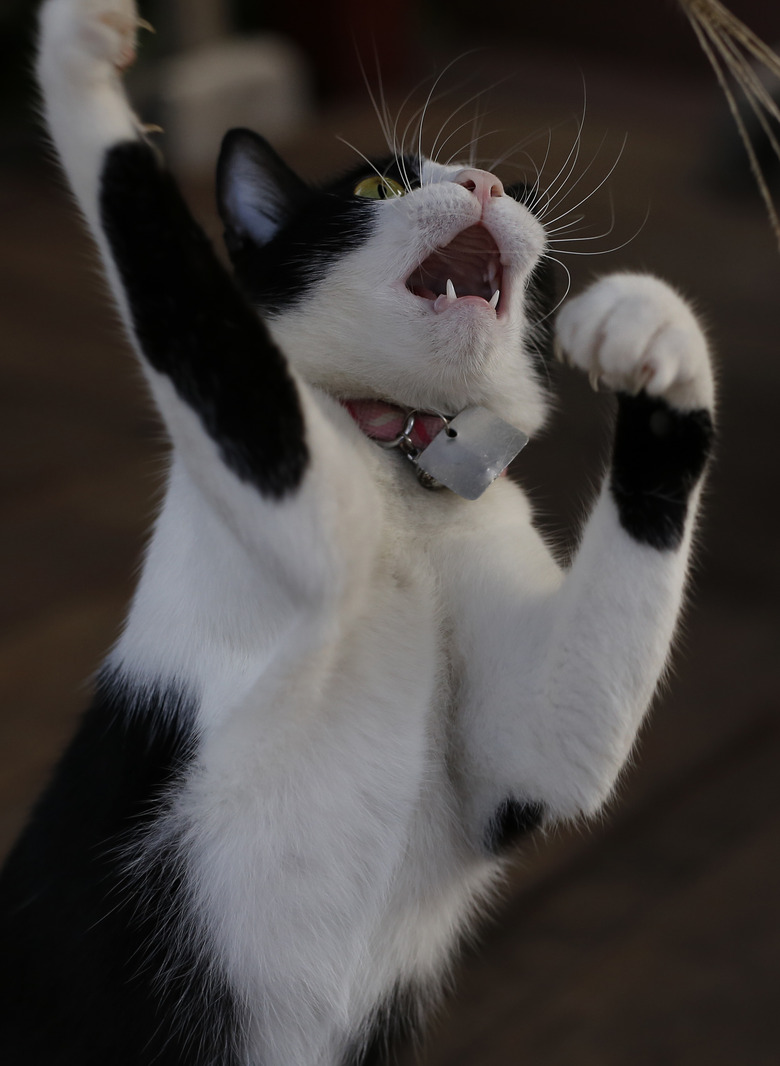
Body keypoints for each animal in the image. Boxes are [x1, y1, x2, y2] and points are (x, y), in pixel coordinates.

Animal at [0, 2, 716, 1066]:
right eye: (382, 185)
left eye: (518, 194)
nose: (487, 185)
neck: (404, 479)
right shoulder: (292, 487)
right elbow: (168, 266)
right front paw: (82, 54)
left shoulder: (528, 760)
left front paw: (654, 333)